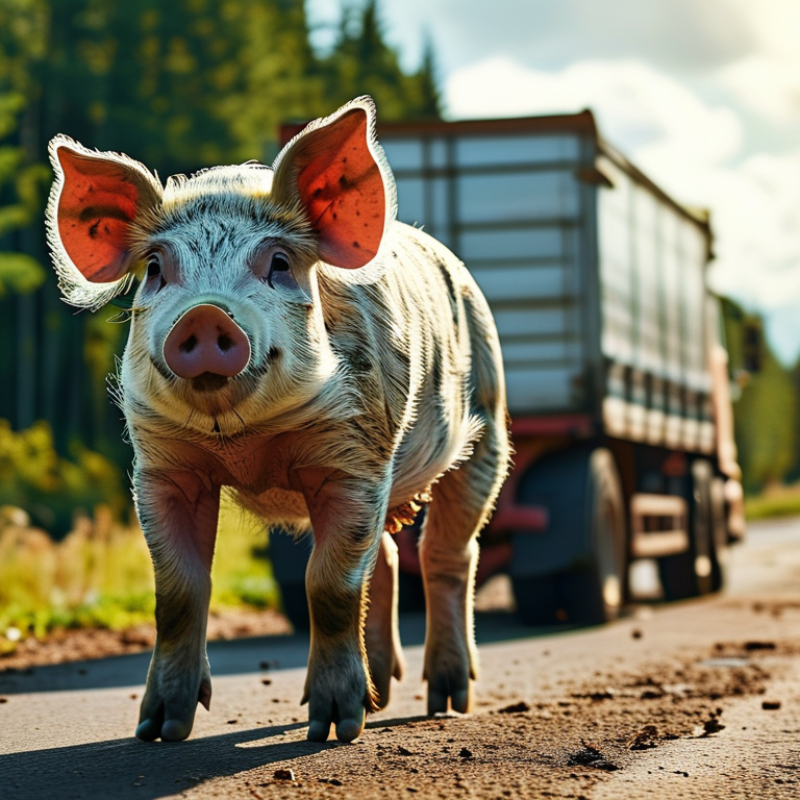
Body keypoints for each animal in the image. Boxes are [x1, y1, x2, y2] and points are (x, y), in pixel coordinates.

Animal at [45, 97, 511, 743]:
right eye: (157, 268)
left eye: (280, 262)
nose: (206, 316)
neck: (247, 446)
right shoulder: (163, 468)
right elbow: (178, 592)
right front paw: (158, 731)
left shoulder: (356, 459)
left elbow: (329, 584)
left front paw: (332, 729)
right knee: (389, 559)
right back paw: (381, 694)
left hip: (488, 431)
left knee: (448, 554)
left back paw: (444, 701)